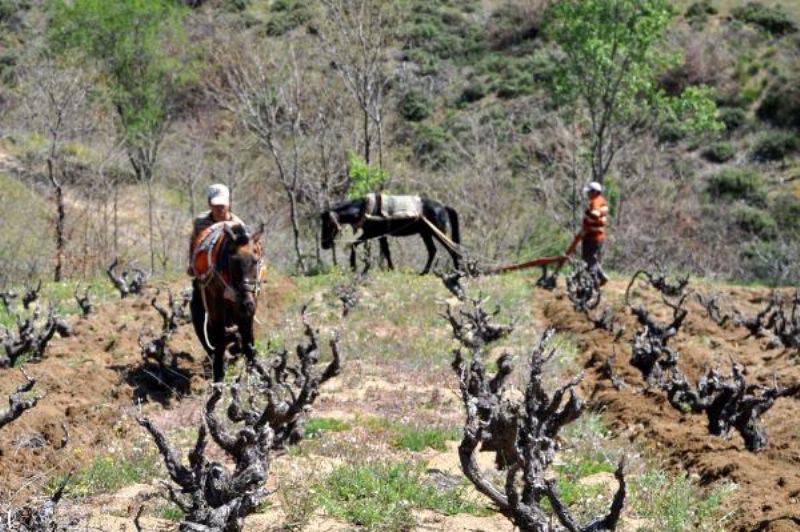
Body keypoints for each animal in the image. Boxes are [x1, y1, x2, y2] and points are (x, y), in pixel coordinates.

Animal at [190, 223, 262, 382]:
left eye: (255, 261)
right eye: (233, 261)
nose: (247, 304)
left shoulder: (249, 307)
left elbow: (248, 339)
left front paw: (255, 371)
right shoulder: (215, 306)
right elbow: (220, 338)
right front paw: (218, 376)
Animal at [318, 196, 456, 274]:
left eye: (328, 225)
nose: (324, 245)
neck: (366, 209)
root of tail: (443, 206)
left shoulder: (371, 234)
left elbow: (354, 244)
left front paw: (354, 266)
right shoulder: (379, 235)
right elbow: (386, 250)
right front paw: (389, 268)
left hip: (437, 233)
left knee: (451, 248)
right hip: (426, 234)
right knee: (432, 250)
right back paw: (424, 272)